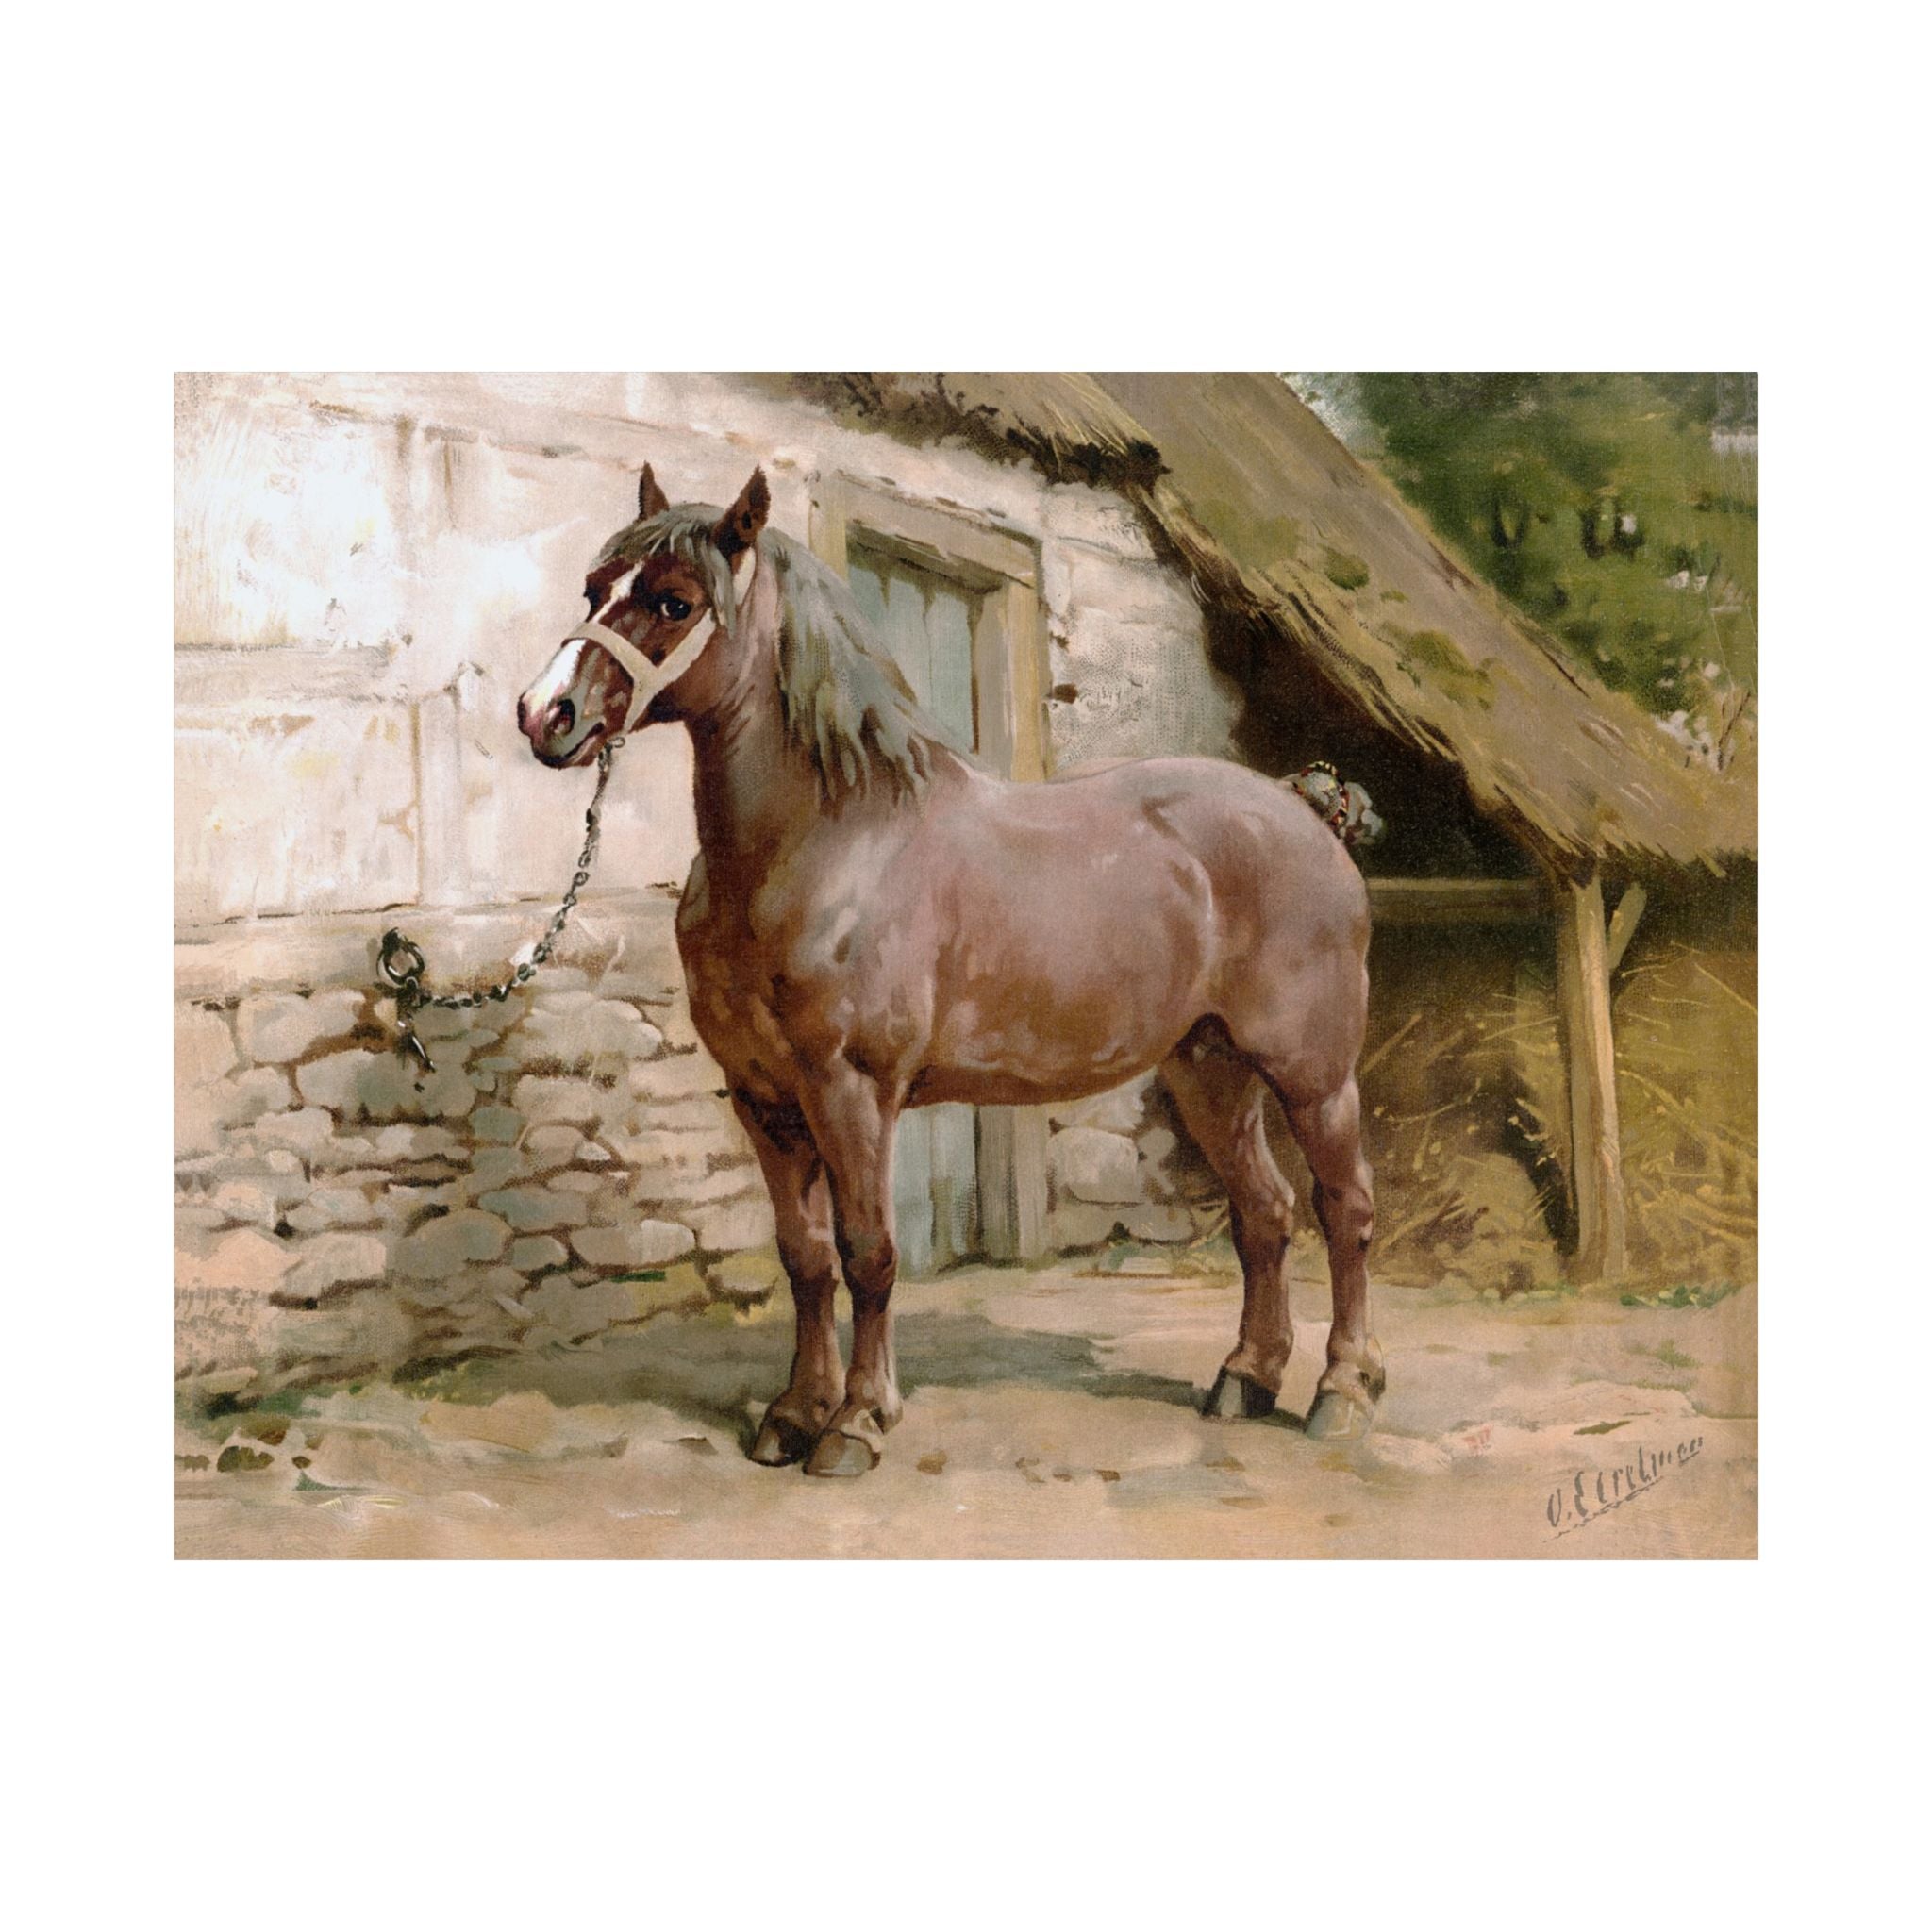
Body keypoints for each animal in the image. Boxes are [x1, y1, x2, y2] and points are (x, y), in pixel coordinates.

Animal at [516, 464, 1383, 1477]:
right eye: (592, 590)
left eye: (674, 601)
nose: (546, 714)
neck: (824, 843)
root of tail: (1303, 811)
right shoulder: (765, 1099)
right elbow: (806, 1258)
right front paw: (792, 1414)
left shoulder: (850, 1089)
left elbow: (869, 1253)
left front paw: (856, 1423)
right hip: (1210, 1070)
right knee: (1265, 1213)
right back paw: (1245, 1379)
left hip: (1312, 1077)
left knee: (1343, 1210)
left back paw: (1343, 1392)